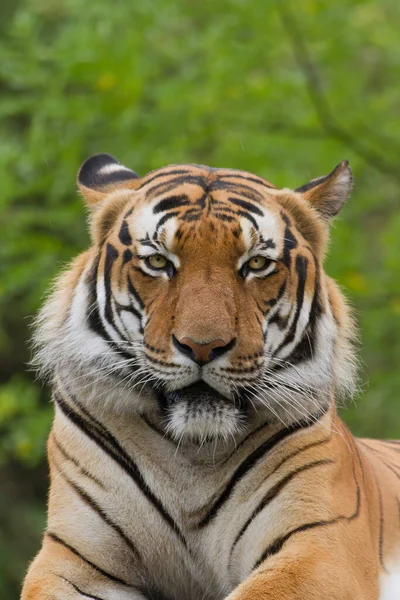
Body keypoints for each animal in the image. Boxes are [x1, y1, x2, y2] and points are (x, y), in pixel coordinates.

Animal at [21, 155, 400, 600]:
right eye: (158, 262)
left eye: (256, 264)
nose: (202, 346)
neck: (193, 454)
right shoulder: (73, 558)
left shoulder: (321, 547)